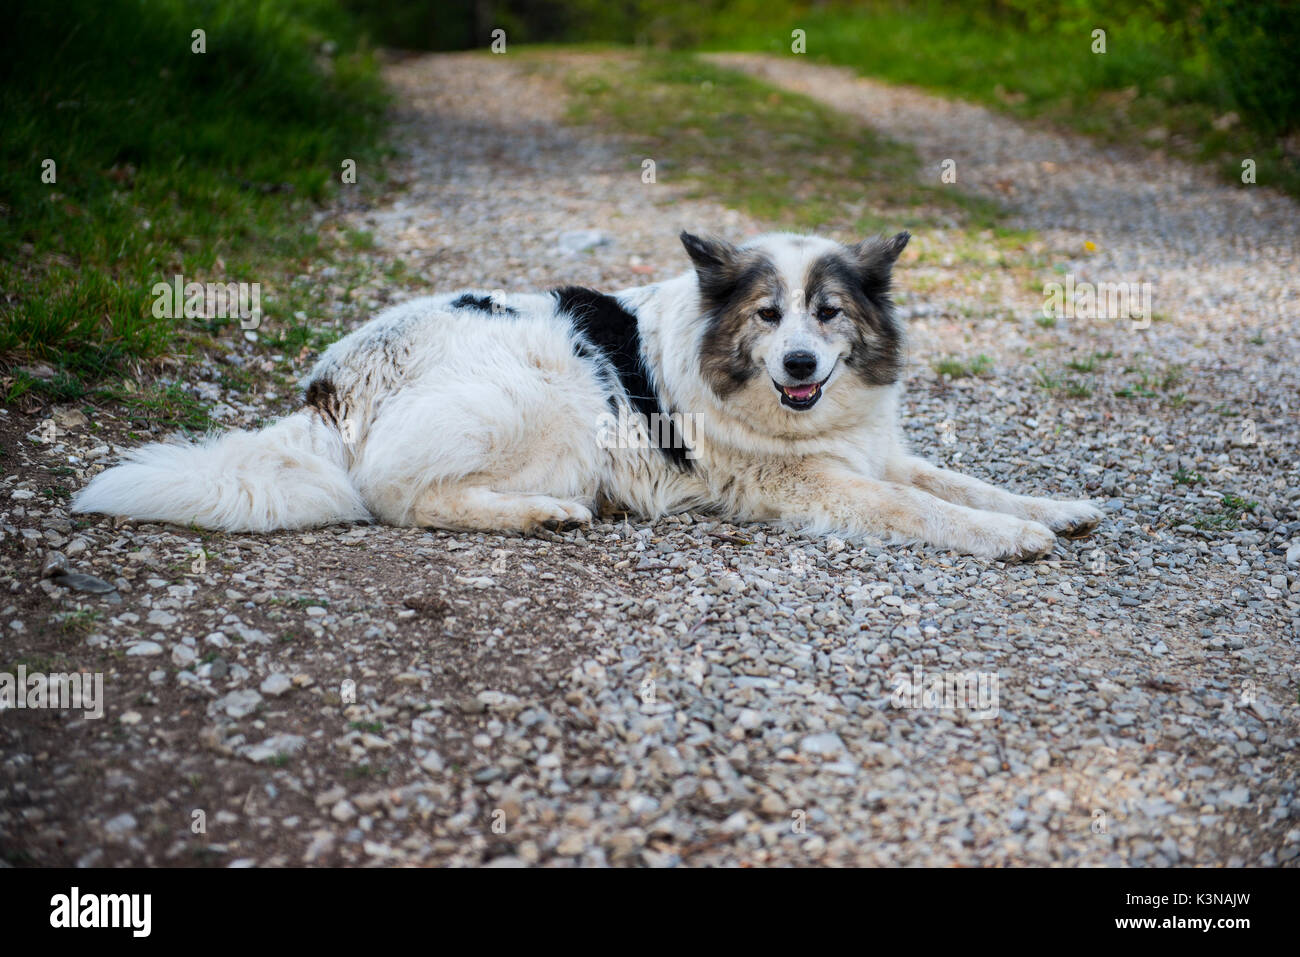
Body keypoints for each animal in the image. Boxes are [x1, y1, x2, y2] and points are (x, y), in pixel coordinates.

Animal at [76, 232, 1102, 561]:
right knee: (398, 495)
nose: (803, 365)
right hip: (554, 396)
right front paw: (1011, 536)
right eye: (768, 316)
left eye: (829, 313)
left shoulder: (875, 450)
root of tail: (336, 384)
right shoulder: (811, 484)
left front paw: (1054, 505)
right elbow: (923, 508)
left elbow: (959, 482)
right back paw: (542, 513)